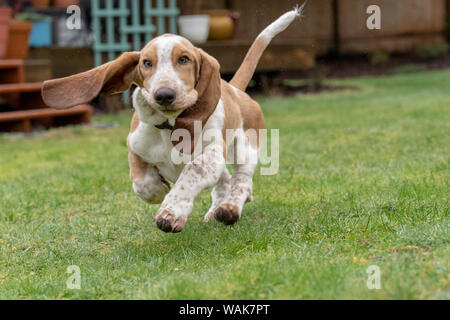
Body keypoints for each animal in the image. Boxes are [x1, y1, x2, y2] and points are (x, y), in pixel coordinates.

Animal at [42, 7, 302, 232]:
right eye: (147, 63)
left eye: (184, 59)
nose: (164, 94)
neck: (168, 127)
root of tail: (235, 89)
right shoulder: (135, 148)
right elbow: (141, 182)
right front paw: (158, 190)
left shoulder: (210, 156)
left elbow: (191, 172)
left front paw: (171, 213)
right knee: (226, 180)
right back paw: (216, 209)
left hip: (245, 149)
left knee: (242, 181)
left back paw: (229, 208)